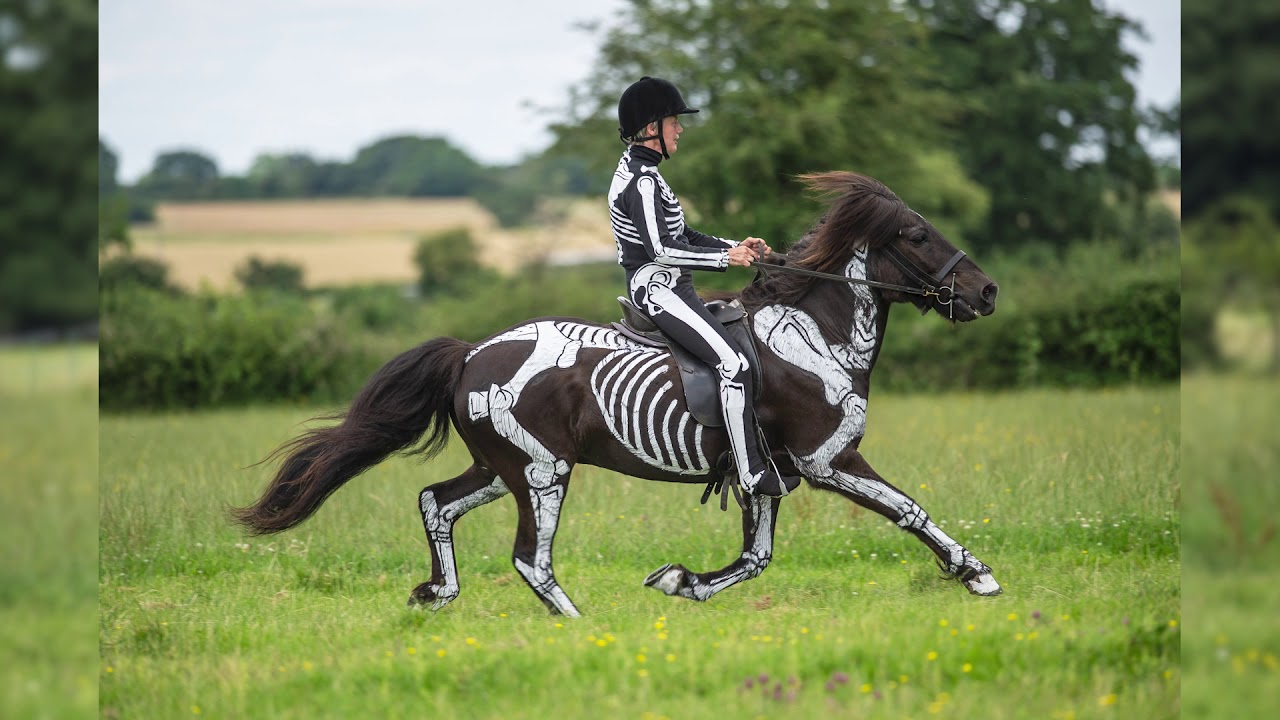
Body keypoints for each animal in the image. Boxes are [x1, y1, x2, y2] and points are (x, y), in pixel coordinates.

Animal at [232, 171, 1002, 617]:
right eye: (916, 234)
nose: (988, 292)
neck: (815, 336)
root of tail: (469, 354)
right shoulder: (825, 461)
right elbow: (908, 509)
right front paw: (977, 575)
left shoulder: (769, 474)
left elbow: (755, 558)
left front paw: (682, 581)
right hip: (542, 472)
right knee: (530, 557)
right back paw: (576, 628)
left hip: (501, 469)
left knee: (435, 502)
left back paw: (438, 593)